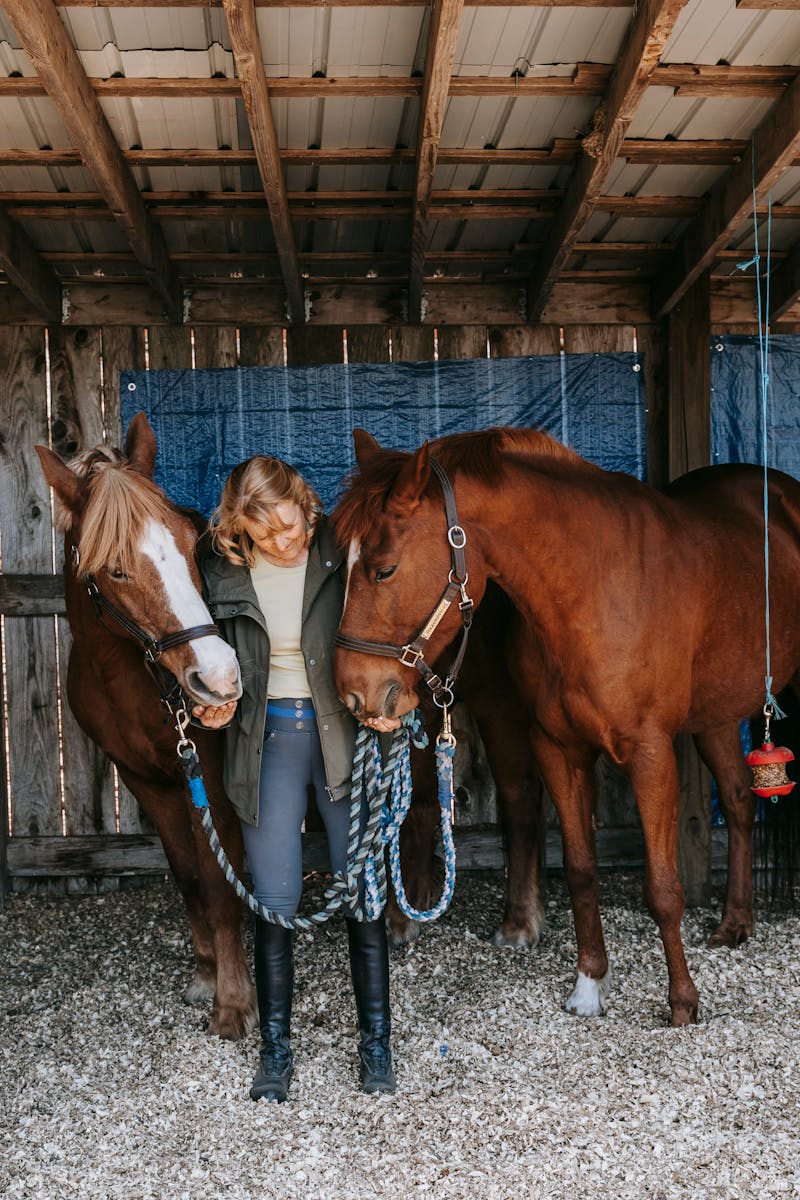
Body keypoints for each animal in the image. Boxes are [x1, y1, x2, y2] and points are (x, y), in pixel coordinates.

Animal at [35, 417, 255, 1036]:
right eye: (115, 569)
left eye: (189, 542)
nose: (219, 677)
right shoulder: (144, 781)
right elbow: (189, 876)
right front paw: (206, 975)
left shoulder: (208, 781)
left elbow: (219, 883)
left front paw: (233, 1002)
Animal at [331, 427, 800, 1027]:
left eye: (384, 569)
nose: (353, 691)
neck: (590, 590)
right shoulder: (557, 748)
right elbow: (579, 869)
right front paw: (589, 986)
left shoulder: (649, 754)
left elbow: (662, 887)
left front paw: (682, 1003)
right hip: (716, 712)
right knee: (740, 801)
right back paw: (735, 922)